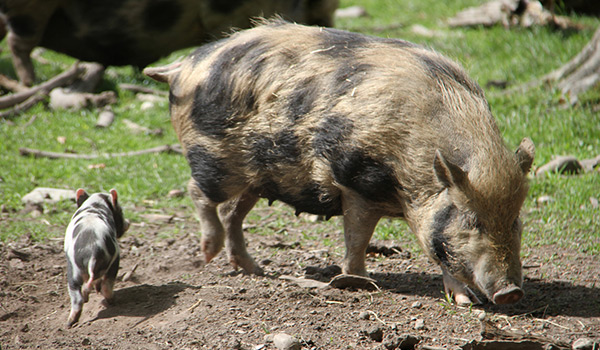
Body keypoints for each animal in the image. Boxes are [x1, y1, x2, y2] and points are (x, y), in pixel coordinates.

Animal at [63, 189, 128, 328]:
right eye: (120, 210)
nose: (128, 223)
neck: (95, 203)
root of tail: (92, 251)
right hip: (111, 261)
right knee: (104, 285)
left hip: (73, 270)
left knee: (78, 296)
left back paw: (70, 323)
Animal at [144, 20, 536, 306]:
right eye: (472, 221)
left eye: (515, 220)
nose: (511, 292)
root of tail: (183, 65)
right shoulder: (355, 181)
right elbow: (357, 238)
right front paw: (360, 282)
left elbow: (443, 253)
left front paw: (466, 302)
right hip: (214, 161)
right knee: (198, 193)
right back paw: (209, 253)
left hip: (258, 176)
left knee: (231, 213)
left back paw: (255, 271)